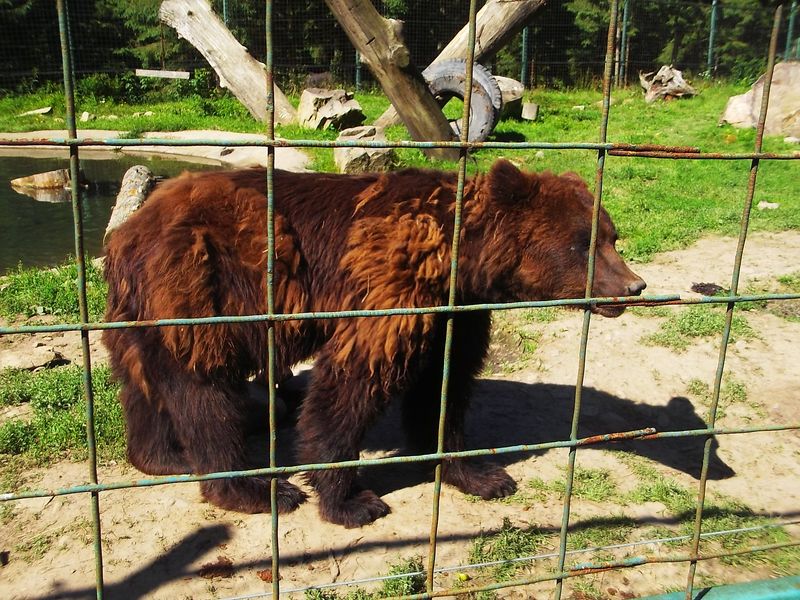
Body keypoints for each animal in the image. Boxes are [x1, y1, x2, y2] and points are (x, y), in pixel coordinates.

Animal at [101, 159, 646, 528]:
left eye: (612, 235)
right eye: (582, 242)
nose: (632, 287)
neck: (457, 263)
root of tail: (130, 229)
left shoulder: (455, 315)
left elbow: (444, 388)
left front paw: (482, 475)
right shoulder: (391, 285)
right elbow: (353, 380)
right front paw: (350, 500)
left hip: (141, 310)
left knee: (141, 382)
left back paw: (161, 456)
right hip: (202, 285)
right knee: (204, 389)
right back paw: (254, 488)